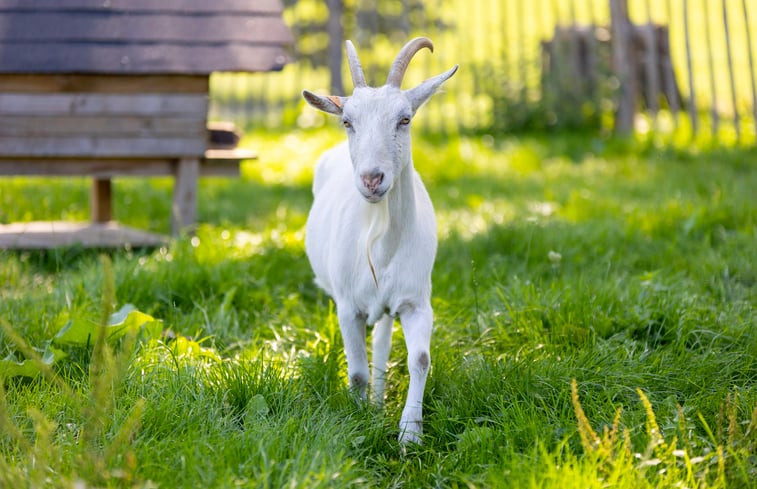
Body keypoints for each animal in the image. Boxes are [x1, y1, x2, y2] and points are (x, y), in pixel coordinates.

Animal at [300, 37, 454, 442]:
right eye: (347, 121)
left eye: (405, 119)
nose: (372, 179)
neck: (381, 242)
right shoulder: (347, 306)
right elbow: (356, 372)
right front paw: (359, 420)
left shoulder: (416, 301)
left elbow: (420, 359)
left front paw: (409, 434)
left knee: (383, 344)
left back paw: (381, 398)